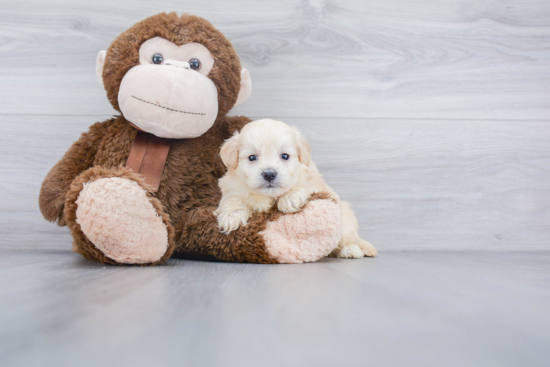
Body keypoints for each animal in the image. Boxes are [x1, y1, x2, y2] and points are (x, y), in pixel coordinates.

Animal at [216, 119, 380, 260]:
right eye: (252, 158)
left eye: (285, 156)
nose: (269, 174)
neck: (269, 196)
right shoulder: (232, 188)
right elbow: (232, 200)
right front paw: (232, 217)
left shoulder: (312, 178)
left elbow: (303, 185)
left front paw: (290, 198)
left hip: (346, 222)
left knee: (344, 241)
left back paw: (350, 250)